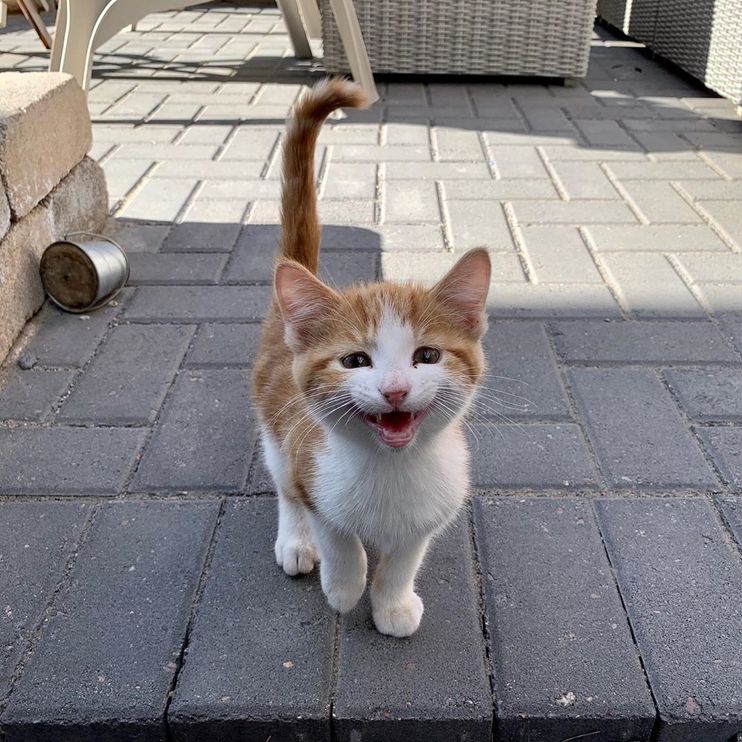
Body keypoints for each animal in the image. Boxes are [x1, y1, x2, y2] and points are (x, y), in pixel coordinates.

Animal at [253, 80, 492, 640]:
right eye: (355, 360)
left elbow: (405, 557)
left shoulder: (433, 508)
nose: (395, 389)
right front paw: (344, 586)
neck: (390, 471)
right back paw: (294, 541)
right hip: (274, 425)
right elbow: (338, 537)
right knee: (283, 486)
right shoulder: (313, 473)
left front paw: (393, 604)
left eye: (427, 355)